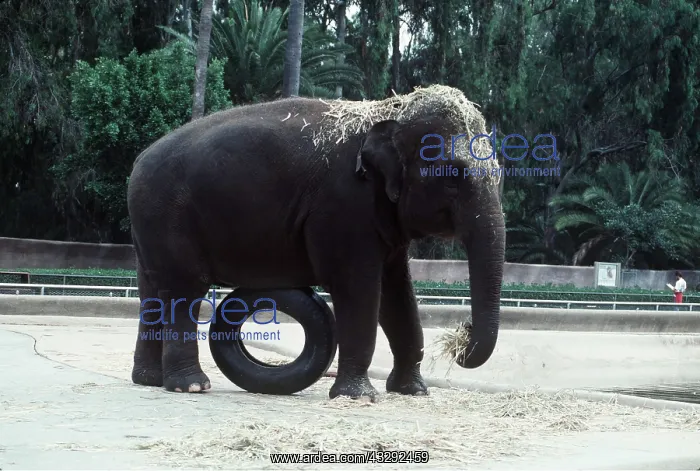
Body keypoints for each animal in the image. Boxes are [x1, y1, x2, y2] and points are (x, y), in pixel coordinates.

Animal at [127, 84, 505, 401]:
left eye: (499, 172)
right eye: (453, 176)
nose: (463, 330)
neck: (388, 110)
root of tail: (139, 160)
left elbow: (396, 294)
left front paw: (412, 392)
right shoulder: (345, 205)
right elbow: (357, 287)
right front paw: (357, 397)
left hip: (148, 227)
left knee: (152, 292)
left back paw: (150, 380)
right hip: (167, 216)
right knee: (184, 289)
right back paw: (191, 386)